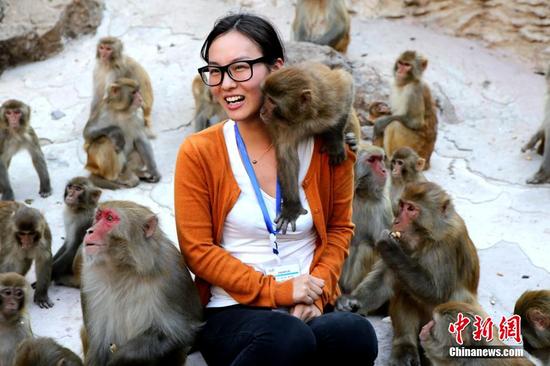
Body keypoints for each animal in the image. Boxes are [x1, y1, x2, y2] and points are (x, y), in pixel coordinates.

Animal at [80, 200, 203, 366]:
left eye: (110, 218)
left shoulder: (173, 279)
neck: (124, 268)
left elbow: (181, 334)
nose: (89, 231)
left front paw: (120, 358)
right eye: (99, 216)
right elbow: (97, 345)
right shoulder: (88, 280)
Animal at [260, 61, 356, 233]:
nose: (262, 110)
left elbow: (346, 84)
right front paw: (292, 207)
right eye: (265, 97)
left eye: (271, 101)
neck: (305, 116)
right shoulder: (283, 125)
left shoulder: (331, 98)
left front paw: (335, 140)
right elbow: (287, 155)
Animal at [336, 182, 478, 364]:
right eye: (402, 205)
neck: (425, 238)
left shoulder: (447, 243)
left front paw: (389, 247)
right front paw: (351, 300)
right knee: (403, 288)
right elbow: (384, 279)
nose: (396, 221)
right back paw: (405, 346)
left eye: (411, 209)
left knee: (457, 297)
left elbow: (437, 292)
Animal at [338, 144, 394, 296]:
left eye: (380, 159)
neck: (361, 194)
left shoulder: (383, 207)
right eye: (372, 160)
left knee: (365, 248)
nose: (384, 170)